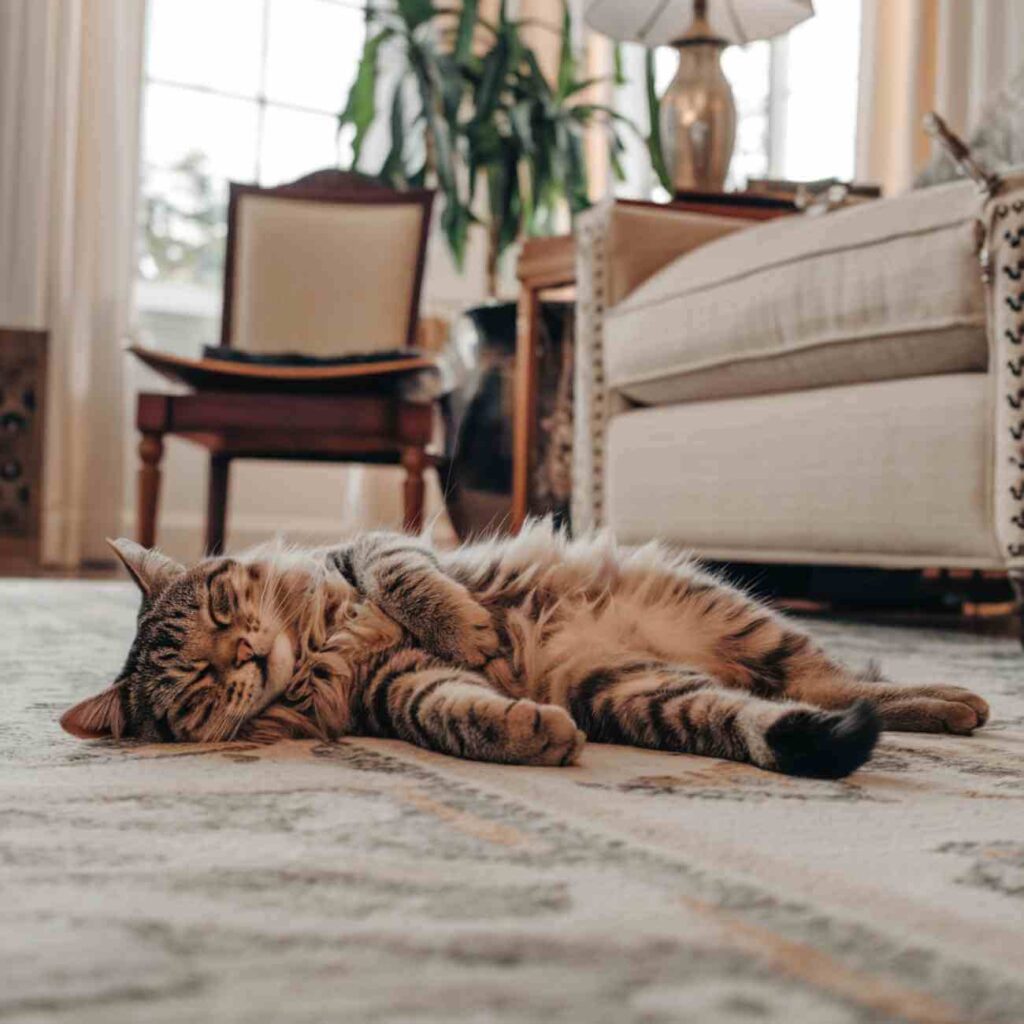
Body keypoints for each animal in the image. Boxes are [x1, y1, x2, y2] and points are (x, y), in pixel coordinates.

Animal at [59, 524, 987, 778]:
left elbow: (407, 576)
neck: (321, 648)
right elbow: (456, 715)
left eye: (223, 607)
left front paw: (470, 624)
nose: (247, 654)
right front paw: (529, 729)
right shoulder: (399, 689)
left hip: (744, 621)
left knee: (842, 681)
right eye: (193, 690)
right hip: (636, 693)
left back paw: (961, 699)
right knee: (803, 706)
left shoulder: (375, 550)